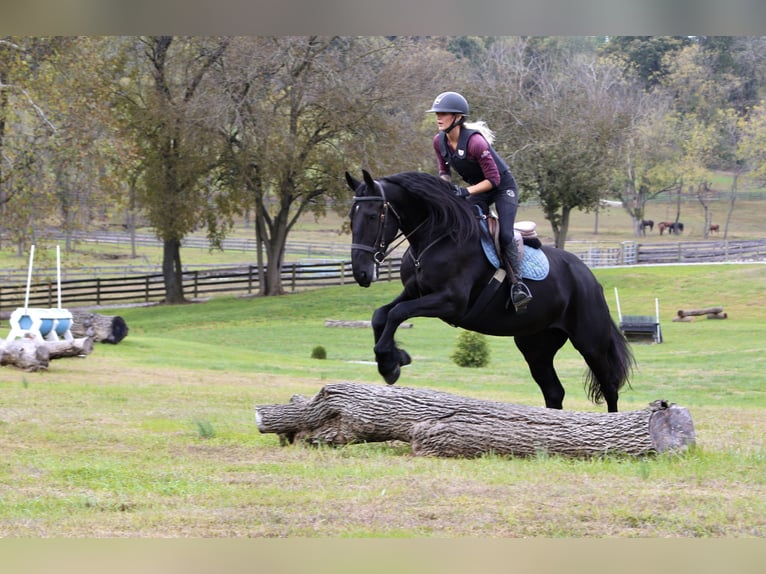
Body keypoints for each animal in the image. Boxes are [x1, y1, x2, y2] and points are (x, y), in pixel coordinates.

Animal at [346, 170, 634, 412]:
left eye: (372, 216)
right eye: (351, 217)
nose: (361, 273)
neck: (436, 237)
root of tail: (589, 277)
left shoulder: (450, 302)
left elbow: (398, 313)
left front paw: (391, 363)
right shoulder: (415, 292)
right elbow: (381, 315)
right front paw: (391, 359)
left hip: (590, 342)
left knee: (609, 386)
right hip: (536, 345)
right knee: (554, 391)